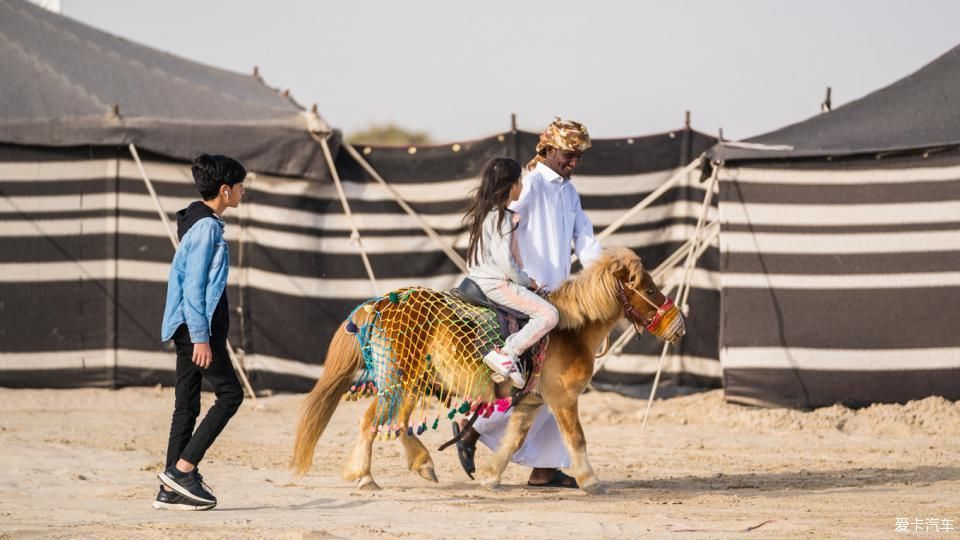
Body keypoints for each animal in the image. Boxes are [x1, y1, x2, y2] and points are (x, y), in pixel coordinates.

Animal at [290, 248, 684, 494]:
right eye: (649, 288)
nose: (679, 326)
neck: (569, 329)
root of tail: (379, 304)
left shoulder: (531, 403)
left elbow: (513, 442)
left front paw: (491, 476)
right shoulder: (563, 399)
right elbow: (576, 439)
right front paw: (590, 480)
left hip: (412, 383)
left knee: (396, 422)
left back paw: (422, 463)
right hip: (399, 381)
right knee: (373, 421)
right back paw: (364, 476)